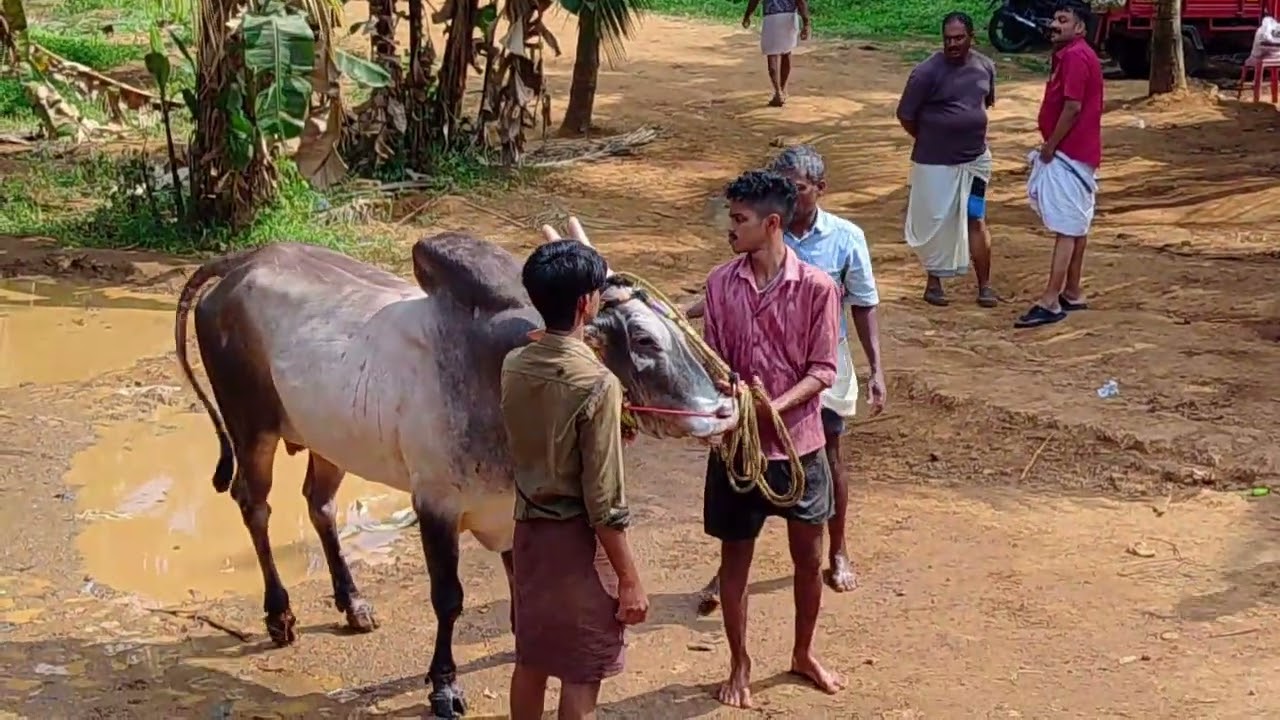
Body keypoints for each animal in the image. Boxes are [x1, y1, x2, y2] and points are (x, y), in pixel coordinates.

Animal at [172, 221, 739, 719]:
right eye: (643, 339)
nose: (722, 409)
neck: (498, 367)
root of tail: (242, 262)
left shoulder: (512, 508)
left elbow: (524, 590)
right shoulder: (435, 504)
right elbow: (448, 600)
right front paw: (443, 685)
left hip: (327, 438)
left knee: (320, 504)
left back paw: (353, 603)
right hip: (252, 428)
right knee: (255, 506)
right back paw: (280, 613)